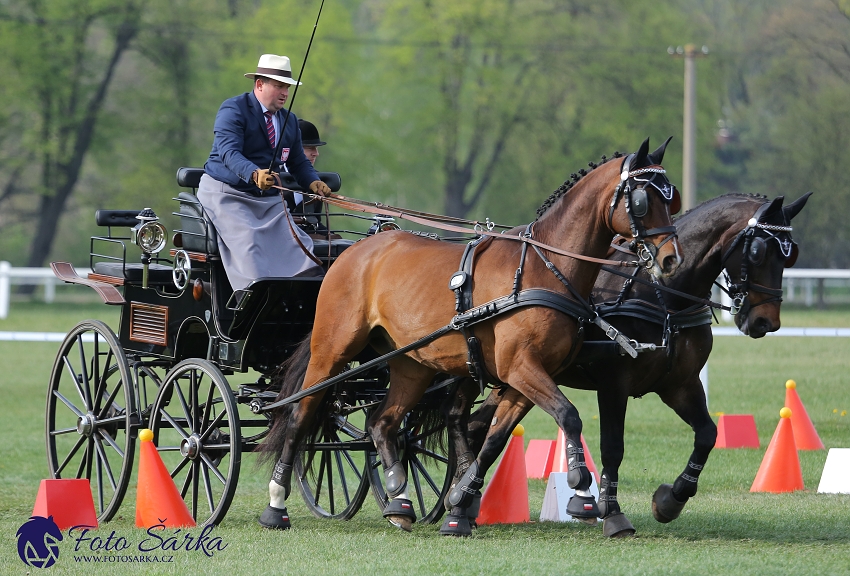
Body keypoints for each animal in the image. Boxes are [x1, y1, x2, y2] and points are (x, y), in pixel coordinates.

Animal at [256, 138, 684, 532]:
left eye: (673, 200)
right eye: (642, 201)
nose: (671, 260)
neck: (545, 268)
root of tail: (352, 252)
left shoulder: (524, 377)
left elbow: (496, 438)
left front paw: (461, 499)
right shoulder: (520, 368)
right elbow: (569, 415)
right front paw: (580, 490)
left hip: (412, 363)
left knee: (382, 422)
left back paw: (400, 500)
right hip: (332, 350)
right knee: (301, 414)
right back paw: (276, 504)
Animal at [444, 192, 808, 536]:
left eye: (790, 254)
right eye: (758, 251)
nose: (765, 322)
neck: (663, 296)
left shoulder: (680, 385)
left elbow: (707, 434)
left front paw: (671, 499)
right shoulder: (614, 384)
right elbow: (612, 448)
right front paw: (611, 512)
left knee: (477, 425)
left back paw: (464, 499)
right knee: (459, 418)